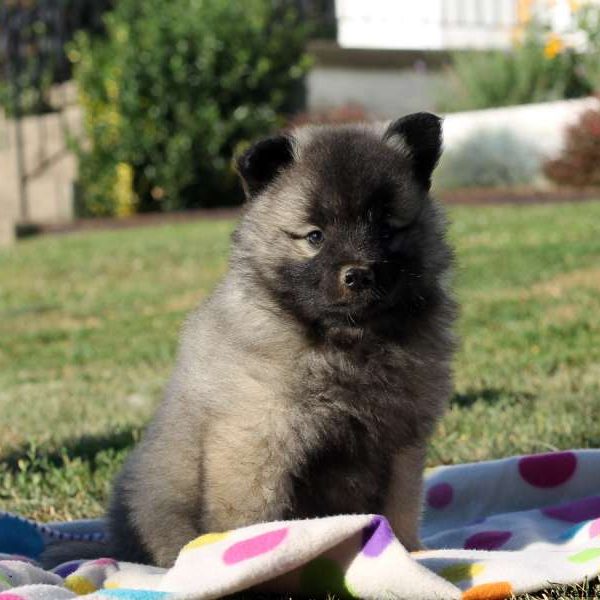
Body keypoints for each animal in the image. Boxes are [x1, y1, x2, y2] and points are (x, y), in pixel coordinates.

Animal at [47, 111, 458, 568]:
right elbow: (250, 517)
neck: (344, 342)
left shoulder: (401, 445)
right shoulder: (257, 439)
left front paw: (409, 552)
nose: (358, 275)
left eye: (387, 230)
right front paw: (252, 559)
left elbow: (400, 508)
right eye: (315, 236)